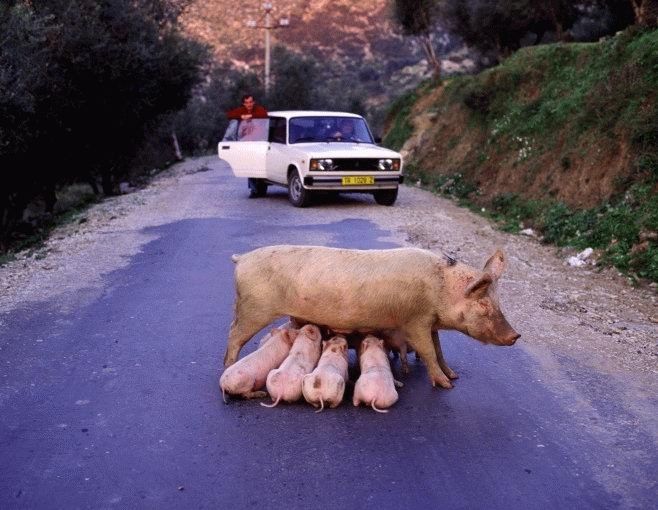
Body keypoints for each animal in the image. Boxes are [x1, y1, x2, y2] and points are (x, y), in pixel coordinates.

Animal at [226, 246, 516, 386]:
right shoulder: (414, 321)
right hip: (253, 308)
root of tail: (242, 258)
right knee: (233, 334)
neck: (440, 288)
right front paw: (447, 385)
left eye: (498, 301)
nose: (516, 335)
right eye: (483, 304)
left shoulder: (430, 322)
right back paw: (228, 366)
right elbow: (428, 351)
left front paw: (453, 376)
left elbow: (439, 350)